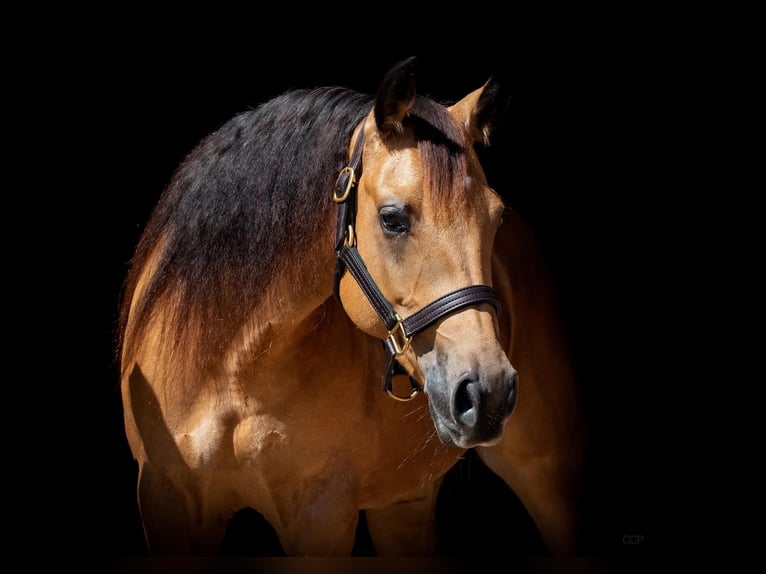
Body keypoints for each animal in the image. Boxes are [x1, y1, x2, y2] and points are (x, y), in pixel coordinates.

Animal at [117, 58, 584, 560]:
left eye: (495, 219)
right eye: (393, 219)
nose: (489, 392)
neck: (230, 372)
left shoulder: (321, 516)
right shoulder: (165, 503)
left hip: (546, 474)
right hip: (405, 501)